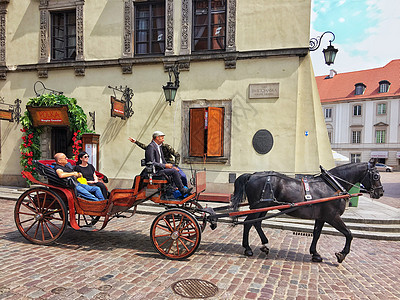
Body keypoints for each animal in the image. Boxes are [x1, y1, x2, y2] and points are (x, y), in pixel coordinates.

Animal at [231, 158, 384, 264]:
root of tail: (252, 175)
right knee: (248, 223)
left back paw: (264, 244)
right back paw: (248, 248)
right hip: (257, 207)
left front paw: (315, 253)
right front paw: (342, 254)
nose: (380, 192)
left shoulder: (321, 217)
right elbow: (349, 234)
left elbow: (316, 234)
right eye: (376, 176)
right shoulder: (333, 217)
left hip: (264, 207)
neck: (333, 185)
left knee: (256, 223)